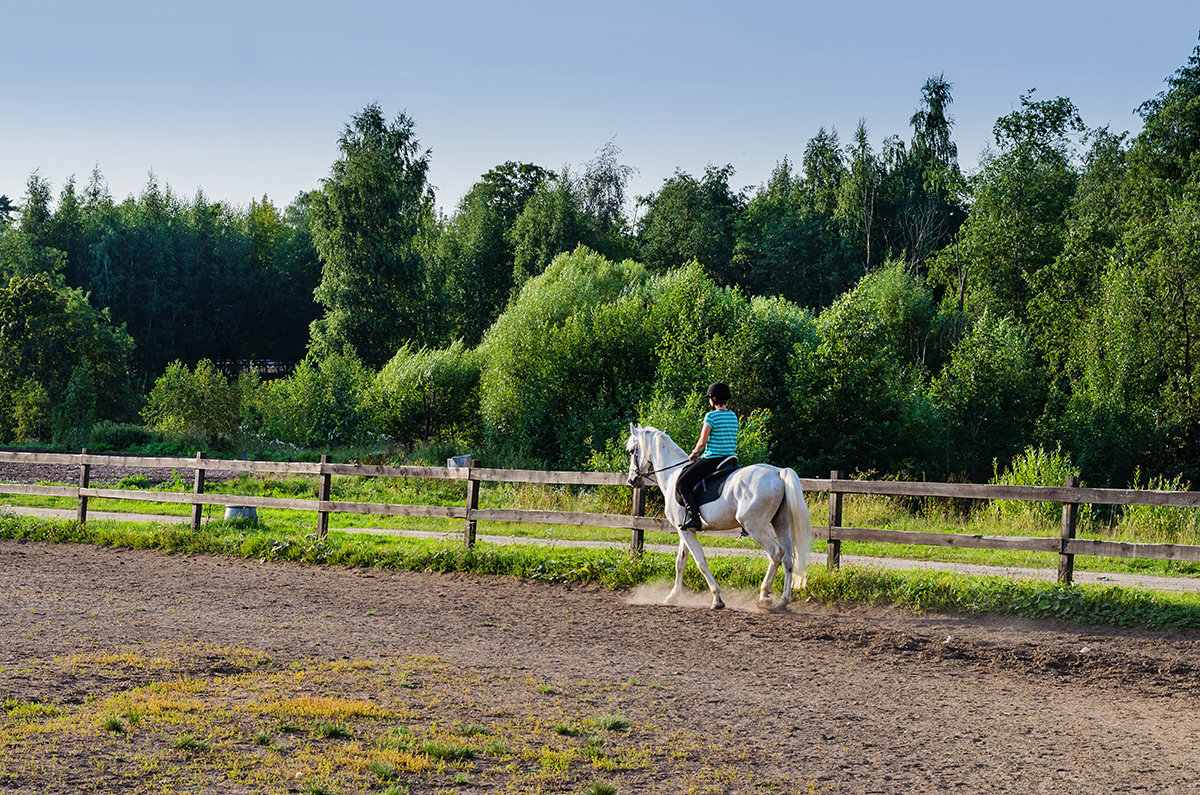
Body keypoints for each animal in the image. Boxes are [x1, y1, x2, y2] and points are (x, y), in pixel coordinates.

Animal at [628, 427, 816, 612]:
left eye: (631, 451)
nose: (632, 480)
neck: (672, 475)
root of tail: (778, 472)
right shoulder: (685, 530)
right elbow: (680, 562)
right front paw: (672, 597)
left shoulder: (685, 531)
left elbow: (701, 562)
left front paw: (717, 598)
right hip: (781, 523)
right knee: (788, 558)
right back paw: (783, 601)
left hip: (756, 528)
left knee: (776, 554)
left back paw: (764, 597)